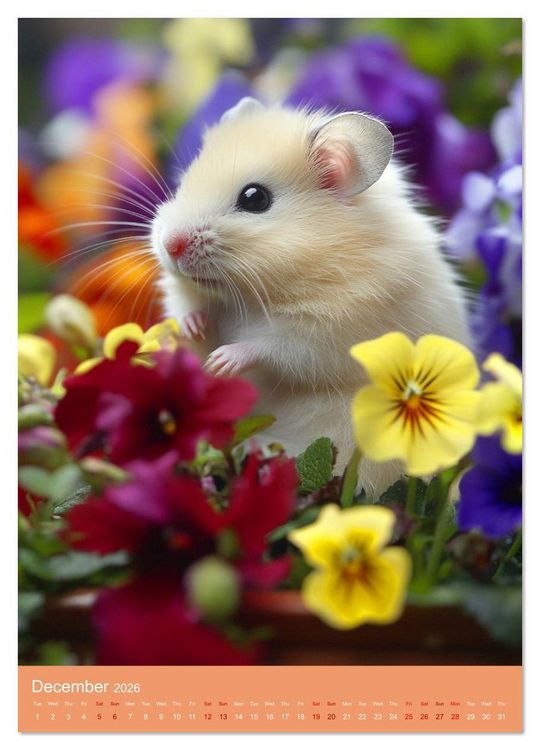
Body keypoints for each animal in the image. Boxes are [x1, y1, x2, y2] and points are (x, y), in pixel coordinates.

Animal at [151, 98, 471, 496]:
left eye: (255, 199)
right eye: (185, 181)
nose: (170, 245)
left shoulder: (329, 330)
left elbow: (272, 345)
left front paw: (222, 361)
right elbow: (189, 308)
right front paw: (194, 329)